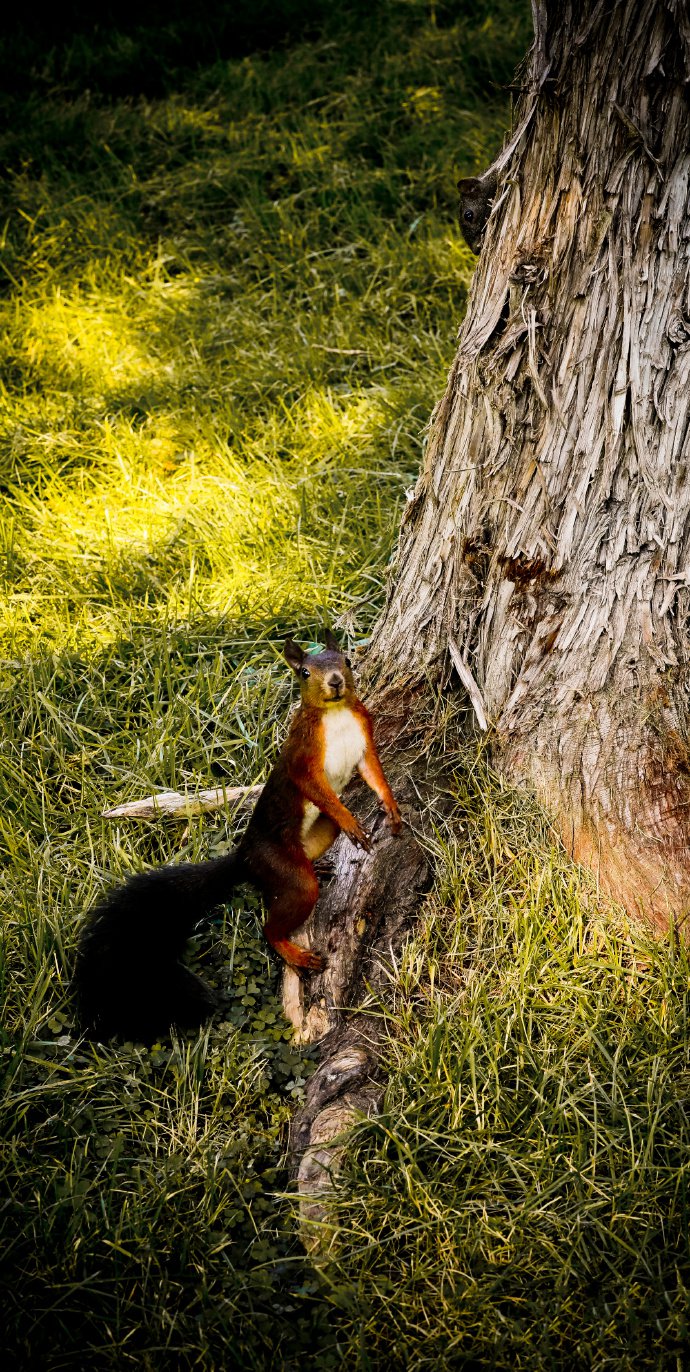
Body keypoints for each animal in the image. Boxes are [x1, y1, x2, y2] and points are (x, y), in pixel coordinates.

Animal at [73, 631, 403, 1037]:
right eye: (304, 672)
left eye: (347, 660)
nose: (336, 681)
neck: (336, 714)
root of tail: (245, 856)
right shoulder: (303, 755)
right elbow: (315, 786)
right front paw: (352, 821)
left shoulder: (363, 734)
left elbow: (373, 771)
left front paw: (391, 807)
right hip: (282, 866)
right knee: (273, 923)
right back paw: (295, 951)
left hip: (318, 833)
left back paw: (319, 866)